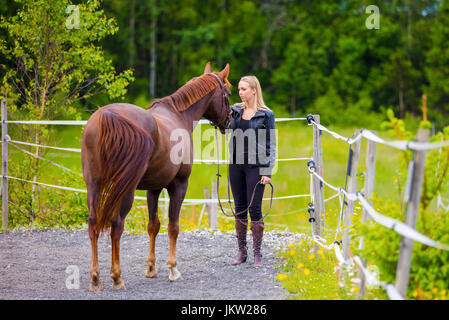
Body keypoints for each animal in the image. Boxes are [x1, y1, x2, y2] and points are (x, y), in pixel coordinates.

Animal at [81, 62, 233, 290]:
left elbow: (153, 226)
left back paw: (95, 278)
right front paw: (173, 269)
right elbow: (173, 227)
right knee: (116, 224)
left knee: (93, 224)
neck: (179, 116)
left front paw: (151, 268)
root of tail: (107, 116)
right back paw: (116, 277)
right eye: (228, 93)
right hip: (125, 190)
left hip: (94, 185)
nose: (230, 120)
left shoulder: (153, 188)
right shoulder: (179, 185)